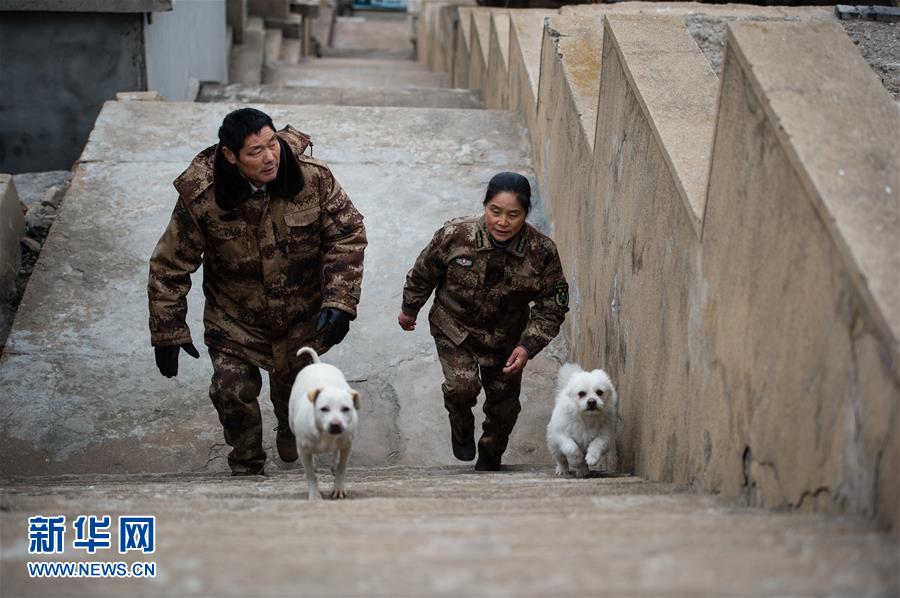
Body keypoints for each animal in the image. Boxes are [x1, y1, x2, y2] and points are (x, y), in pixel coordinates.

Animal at [288, 346, 358, 502]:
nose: (335, 425)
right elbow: (310, 475)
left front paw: (338, 488)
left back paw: (333, 465)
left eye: (346, 409)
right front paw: (315, 496)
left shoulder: (348, 445)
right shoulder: (303, 450)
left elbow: (342, 467)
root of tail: (318, 365)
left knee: (335, 453)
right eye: (323, 409)